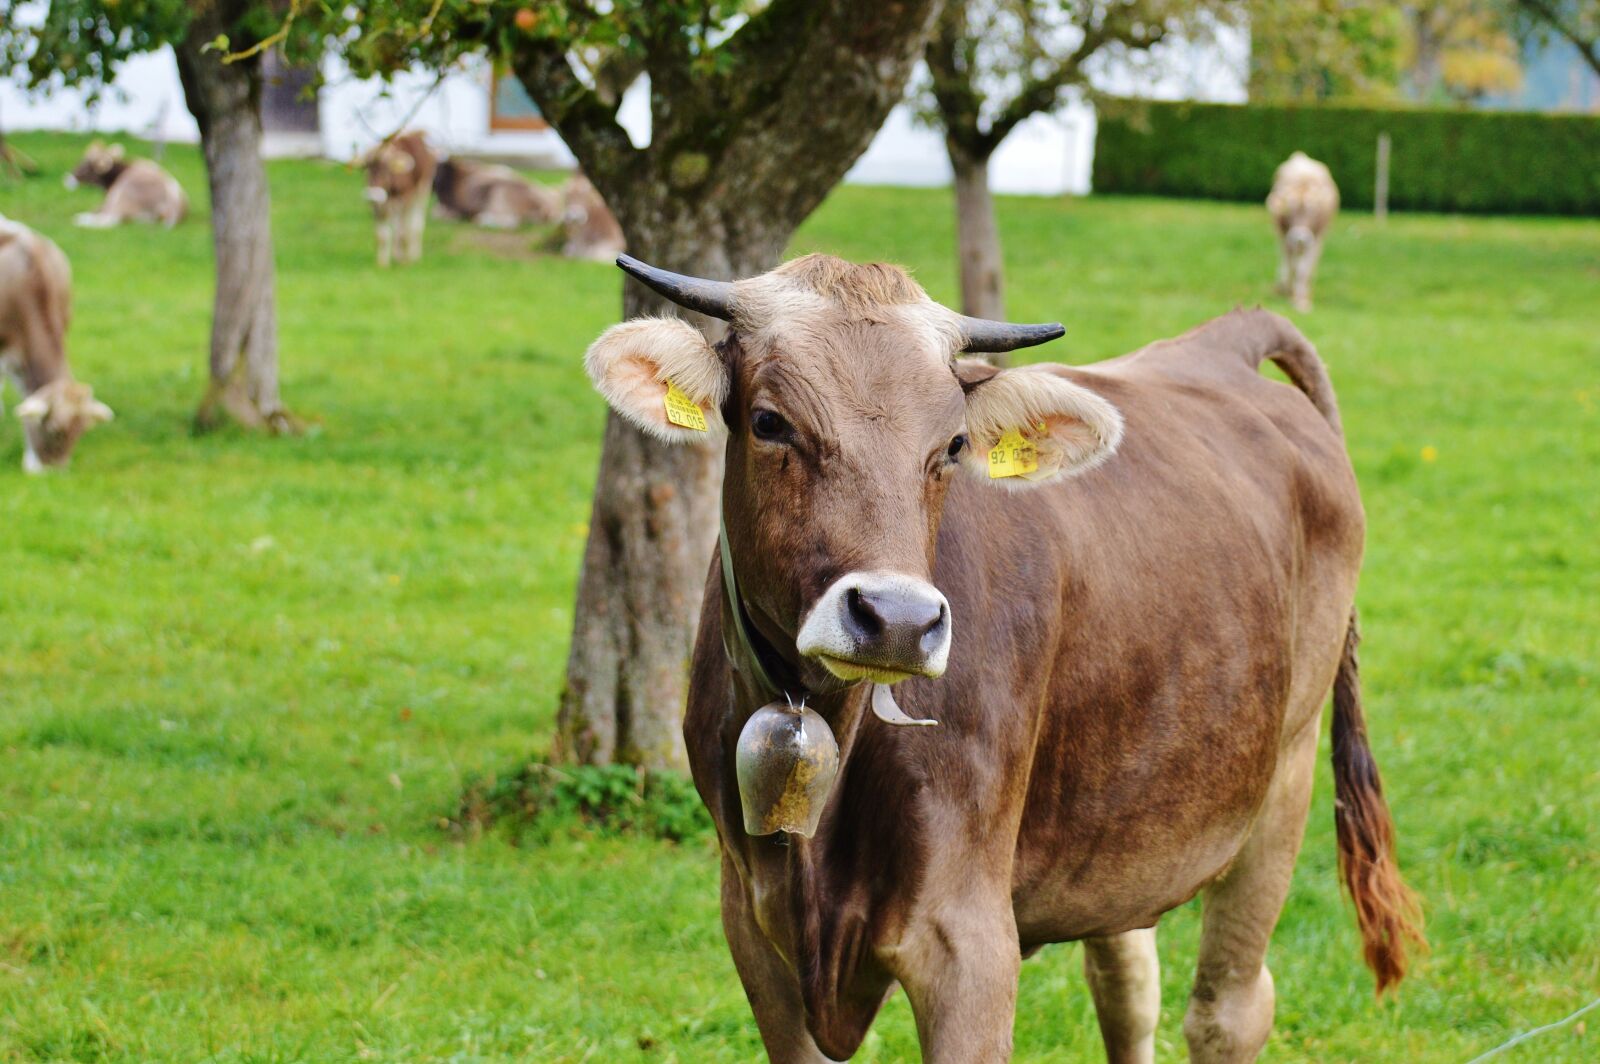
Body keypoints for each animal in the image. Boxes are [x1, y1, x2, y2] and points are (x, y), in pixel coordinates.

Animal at [363, 132, 437, 268]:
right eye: (366, 168)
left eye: (386, 168)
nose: (374, 194)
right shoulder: (378, 206)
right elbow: (381, 236)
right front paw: (382, 264)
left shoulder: (406, 197)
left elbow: (403, 232)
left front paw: (404, 263)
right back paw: (397, 255)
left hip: (423, 190)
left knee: (415, 224)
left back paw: (413, 256)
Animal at [582, 253, 1423, 1063]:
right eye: (768, 422)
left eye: (952, 446)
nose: (896, 619)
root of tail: (1223, 344)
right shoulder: (753, 926)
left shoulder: (968, 939)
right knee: (1127, 983)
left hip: (1286, 771)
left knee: (1228, 1012)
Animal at [1267, 152, 1339, 313]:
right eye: (1289, 210)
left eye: (1313, 211)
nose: (1300, 237)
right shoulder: (1286, 237)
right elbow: (1293, 266)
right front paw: (1291, 294)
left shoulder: (1316, 239)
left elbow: (1304, 269)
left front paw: (1301, 301)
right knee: (1287, 262)